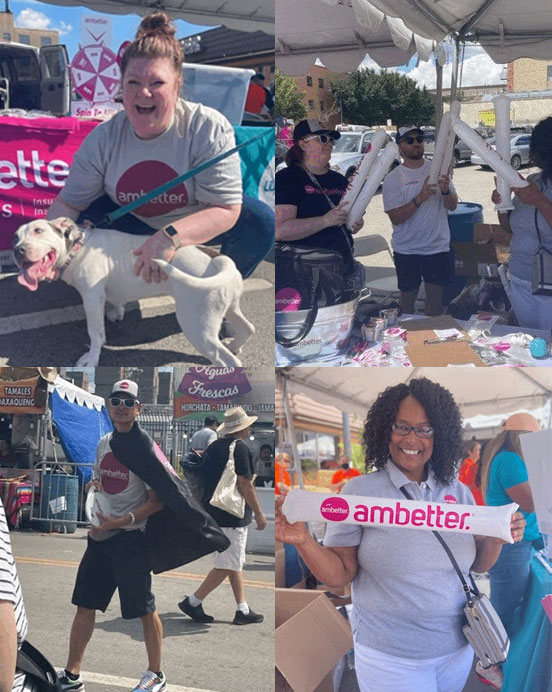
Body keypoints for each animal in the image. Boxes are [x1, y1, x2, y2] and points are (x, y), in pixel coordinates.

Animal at [12, 218, 254, 368]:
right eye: (15, 237)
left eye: (39, 230)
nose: (17, 250)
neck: (77, 247)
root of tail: (218, 259)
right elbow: (116, 303)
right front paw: (117, 313)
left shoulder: (91, 298)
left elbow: (95, 333)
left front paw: (92, 358)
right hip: (228, 307)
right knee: (247, 328)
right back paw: (234, 346)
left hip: (197, 326)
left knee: (228, 362)